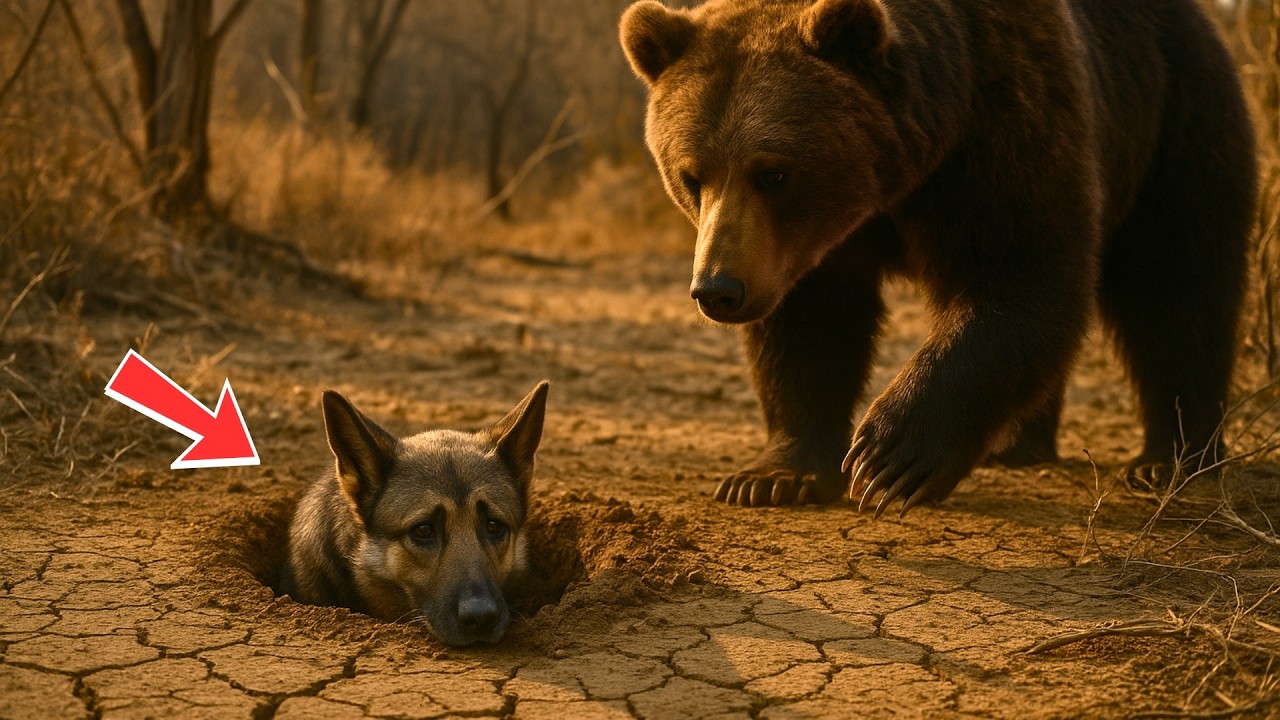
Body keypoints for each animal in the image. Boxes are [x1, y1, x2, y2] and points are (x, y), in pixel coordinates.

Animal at [619, 0, 1256, 515]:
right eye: (692, 175)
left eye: (773, 173)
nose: (718, 289)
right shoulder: (804, 250)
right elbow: (808, 327)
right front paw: (773, 476)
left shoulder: (1002, 125)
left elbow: (1018, 278)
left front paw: (890, 456)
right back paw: (1016, 444)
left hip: (1171, 115)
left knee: (1178, 288)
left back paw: (1171, 458)